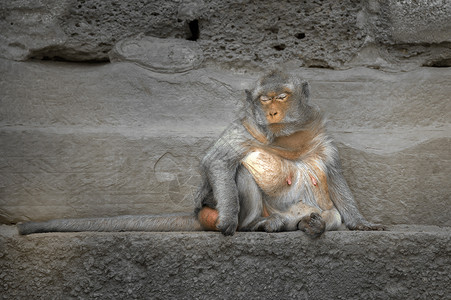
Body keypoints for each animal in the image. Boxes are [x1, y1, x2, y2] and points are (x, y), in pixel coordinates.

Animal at [18, 70, 384, 237]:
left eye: (282, 96)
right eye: (264, 99)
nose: (272, 112)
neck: (286, 136)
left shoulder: (320, 130)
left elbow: (334, 174)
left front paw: (361, 222)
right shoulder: (243, 127)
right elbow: (218, 161)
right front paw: (227, 221)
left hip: (313, 211)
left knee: (328, 215)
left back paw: (311, 224)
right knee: (239, 172)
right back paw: (260, 224)